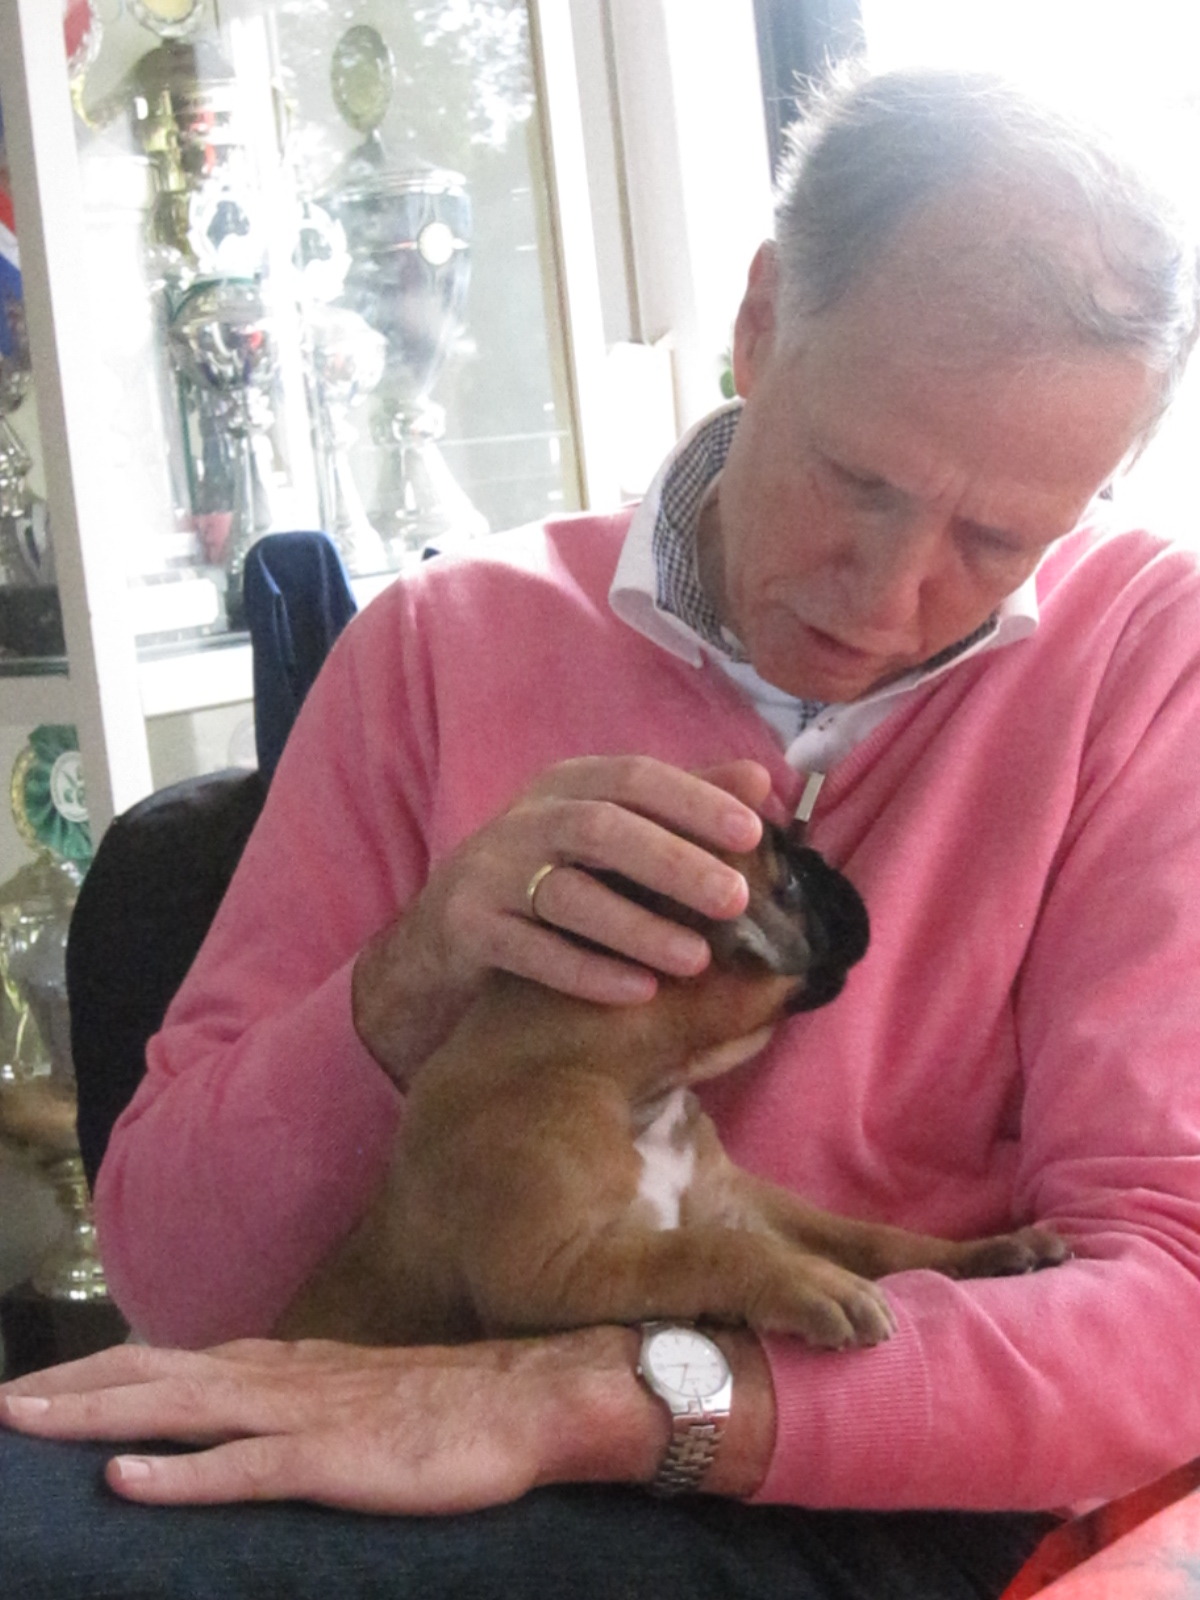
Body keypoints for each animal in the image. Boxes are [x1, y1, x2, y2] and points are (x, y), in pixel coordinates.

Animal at [278, 823, 1068, 1350]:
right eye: (787, 883)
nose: (829, 866)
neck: (625, 1082)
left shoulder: (740, 1199)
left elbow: (865, 1234)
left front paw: (980, 1252)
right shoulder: (550, 1270)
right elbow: (703, 1251)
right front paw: (807, 1281)